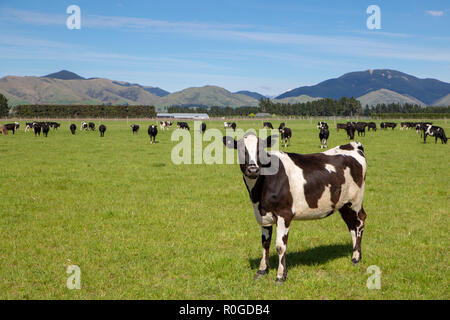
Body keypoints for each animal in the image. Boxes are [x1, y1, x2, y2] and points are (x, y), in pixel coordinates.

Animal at [223, 134, 368, 284]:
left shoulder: (284, 214)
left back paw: (356, 258)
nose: (253, 170)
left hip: (355, 201)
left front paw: (280, 276)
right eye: (241, 150)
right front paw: (262, 270)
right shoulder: (263, 215)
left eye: (261, 150)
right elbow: (265, 243)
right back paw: (354, 254)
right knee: (351, 225)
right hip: (343, 204)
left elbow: (280, 246)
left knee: (360, 222)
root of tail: (352, 145)